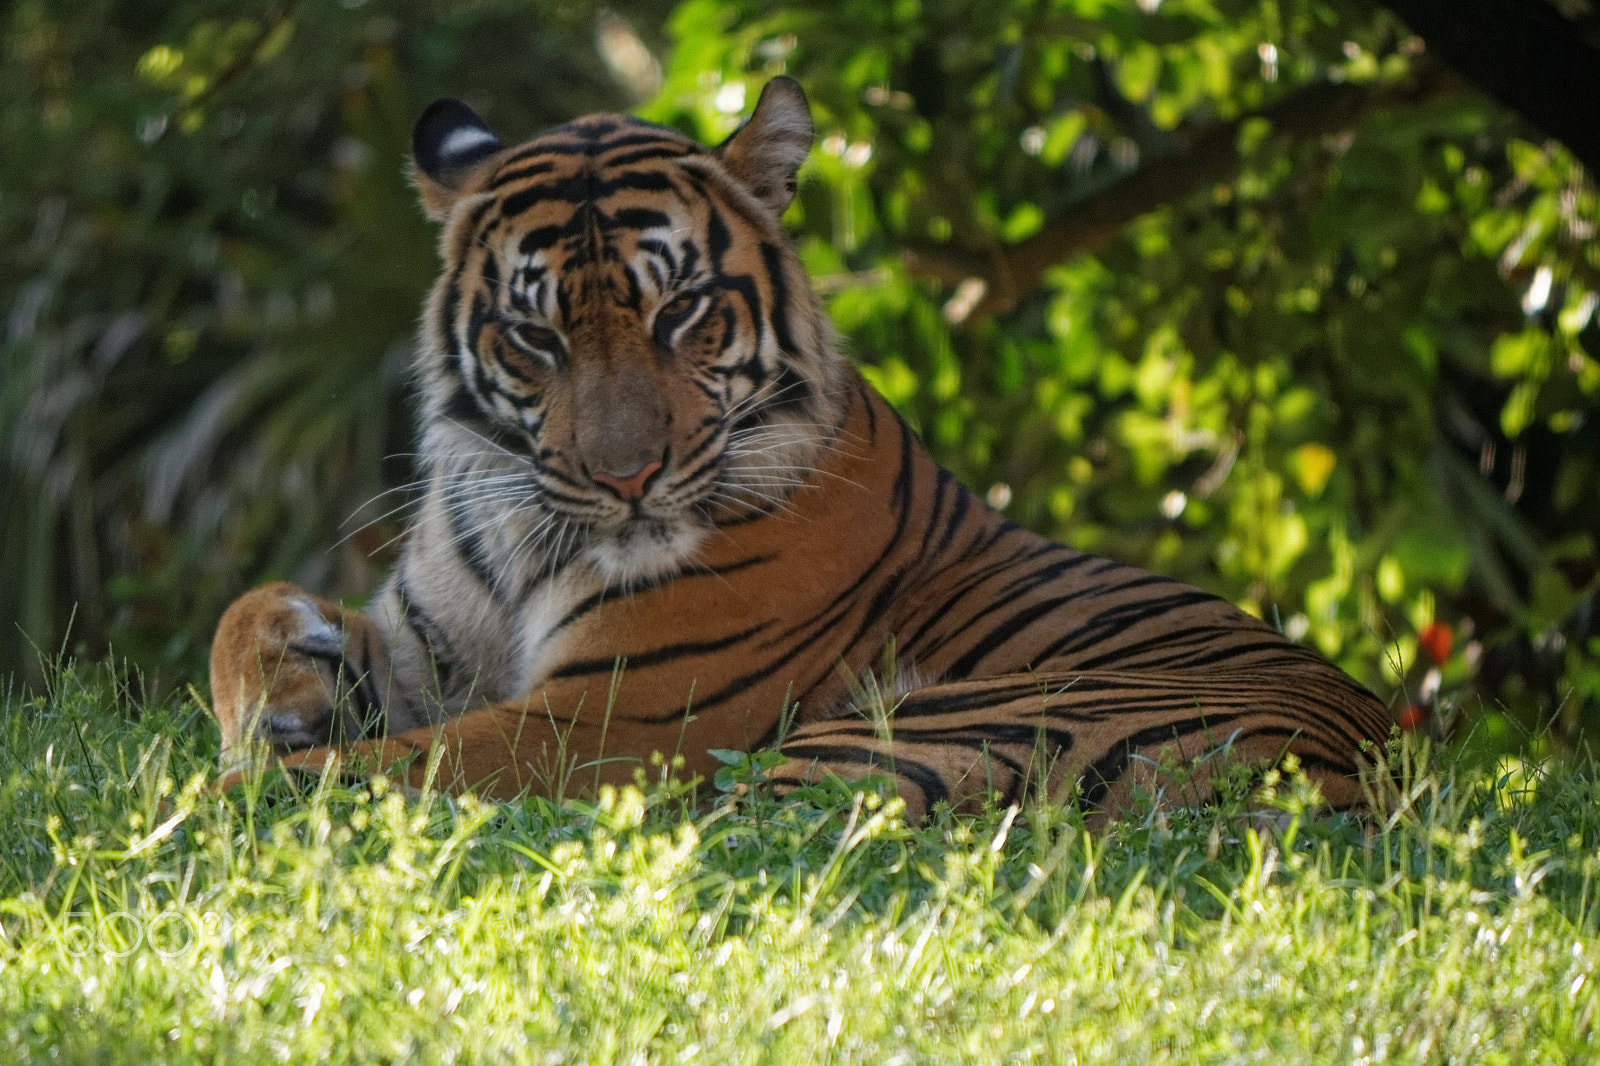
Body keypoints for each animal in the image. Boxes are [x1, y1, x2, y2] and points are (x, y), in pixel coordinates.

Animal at [207, 77, 1392, 820]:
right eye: (536, 335)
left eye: (680, 311)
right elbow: (245, 613)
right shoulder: (434, 646)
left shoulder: (603, 722)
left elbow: (379, 768)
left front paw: (217, 790)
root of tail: (1352, 783)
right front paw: (287, 689)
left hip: (906, 730)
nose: (626, 479)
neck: (517, 524)